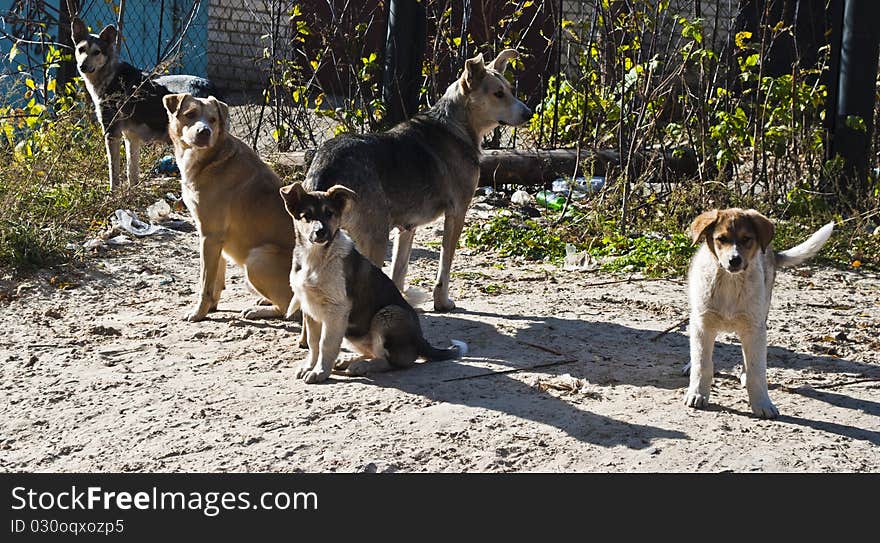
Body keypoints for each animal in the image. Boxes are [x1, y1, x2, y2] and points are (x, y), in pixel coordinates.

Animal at [70, 16, 218, 191]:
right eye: (81, 50)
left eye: (96, 52)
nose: (82, 66)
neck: (109, 75)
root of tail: (208, 85)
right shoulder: (131, 137)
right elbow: (131, 172)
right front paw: (131, 193)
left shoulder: (112, 133)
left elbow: (114, 173)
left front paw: (113, 193)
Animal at [282, 181, 468, 384]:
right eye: (306, 216)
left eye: (329, 213)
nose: (321, 232)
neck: (316, 258)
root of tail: (421, 341)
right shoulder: (310, 308)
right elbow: (313, 343)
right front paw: (310, 366)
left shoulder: (337, 309)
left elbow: (326, 344)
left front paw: (320, 372)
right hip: (353, 333)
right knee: (374, 352)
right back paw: (349, 360)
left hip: (387, 315)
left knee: (395, 361)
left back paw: (362, 366)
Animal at [306, 49, 532, 312]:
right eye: (498, 94)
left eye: (511, 90)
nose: (529, 114)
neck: (456, 125)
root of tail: (328, 163)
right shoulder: (457, 213)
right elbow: (445, 264)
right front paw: (442, 302)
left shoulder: (407, 227)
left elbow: (399, 270)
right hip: (375, 238)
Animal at [684, 210, 836, 418]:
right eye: (721, 239)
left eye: (746, 239)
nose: (734, 260)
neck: (730, 282)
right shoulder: (702, 323)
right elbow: (702, 363)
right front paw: (697, 393)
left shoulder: (755, 329)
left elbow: (756, 372)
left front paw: (762, 403)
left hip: (761, 313)